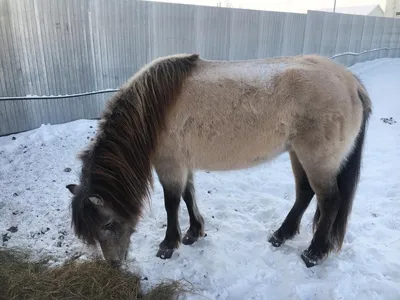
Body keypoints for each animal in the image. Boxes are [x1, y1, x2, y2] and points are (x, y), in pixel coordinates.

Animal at [66, 52, 372, 268]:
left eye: (107, 224)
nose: (114, 264)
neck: (153, 108)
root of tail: (351, 82)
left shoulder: (169, 164)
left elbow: (171, 202)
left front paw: (168, 245)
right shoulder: (183, 163)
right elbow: (188, 196)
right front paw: (193, 233)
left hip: (316, 159)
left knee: (330, 200)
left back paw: (313, 253)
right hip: (297, 154)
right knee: (306, 193)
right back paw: (280, 235)